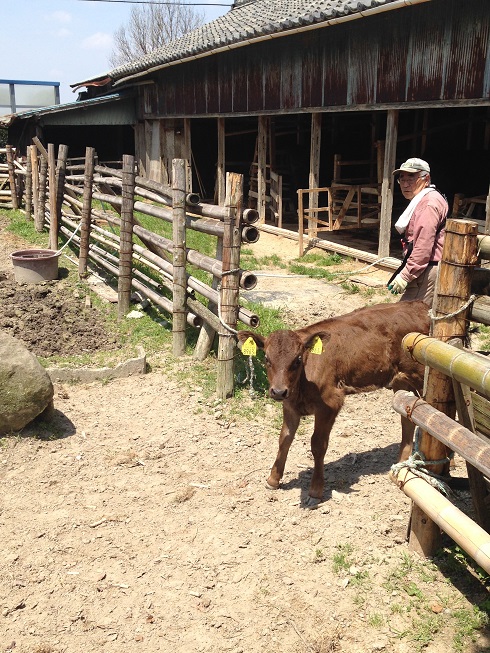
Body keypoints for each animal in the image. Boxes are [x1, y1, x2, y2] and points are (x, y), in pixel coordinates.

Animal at [237, 300, 428, 504]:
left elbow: (318, 445)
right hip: (401, 381)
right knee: (407, 418)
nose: (279, 391)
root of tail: (419, 305)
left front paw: (315, 491)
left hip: (422, 376)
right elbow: (284, 438)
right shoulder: (290, 405)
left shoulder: (329, 403)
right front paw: (273, 479)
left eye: (297, 359)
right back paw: (401, 464)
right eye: (266, 358)